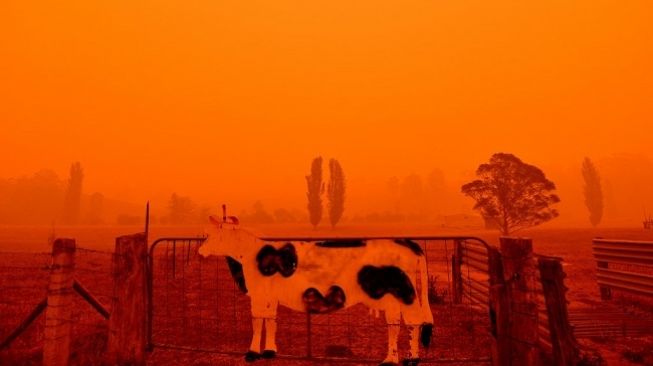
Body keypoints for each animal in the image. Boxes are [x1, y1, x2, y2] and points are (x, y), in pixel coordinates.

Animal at [197, 217, 432, 366]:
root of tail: (407, 242)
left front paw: (252, 353)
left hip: (405, 293)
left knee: (413, 320)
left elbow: (258, 321)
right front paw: (270, 351)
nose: (200, 251)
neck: (251, 256)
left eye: (212, 235)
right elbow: (271, 320)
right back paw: (390, 360)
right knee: (394, 323)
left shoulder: (259, 294)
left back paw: (412, 359)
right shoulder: (270, 297)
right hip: (392, 297)